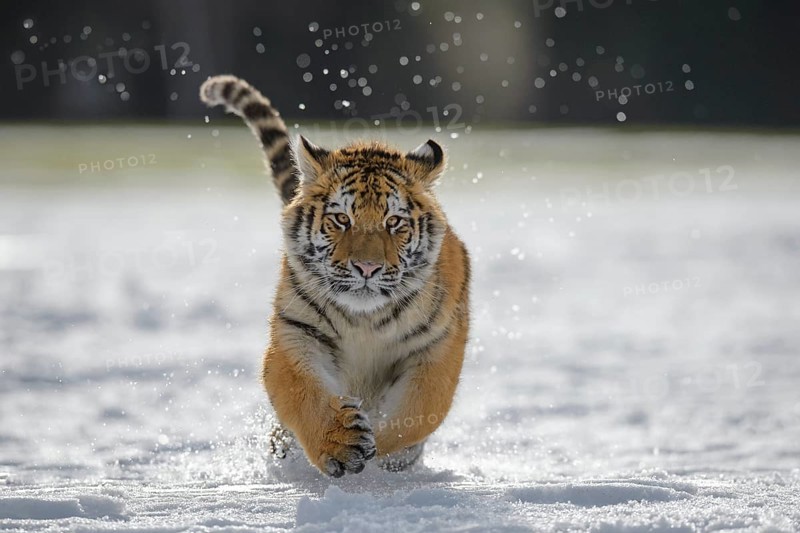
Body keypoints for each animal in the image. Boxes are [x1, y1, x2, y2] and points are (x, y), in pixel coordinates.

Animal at [200, 75, 470, 477]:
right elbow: (301, 392)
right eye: (342, 218)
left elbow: (416, 412)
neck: (365, 321)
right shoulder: (296, 332)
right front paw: (342, 443)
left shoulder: (438, 346)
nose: (367, 268)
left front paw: (381, 449)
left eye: (394, 222)